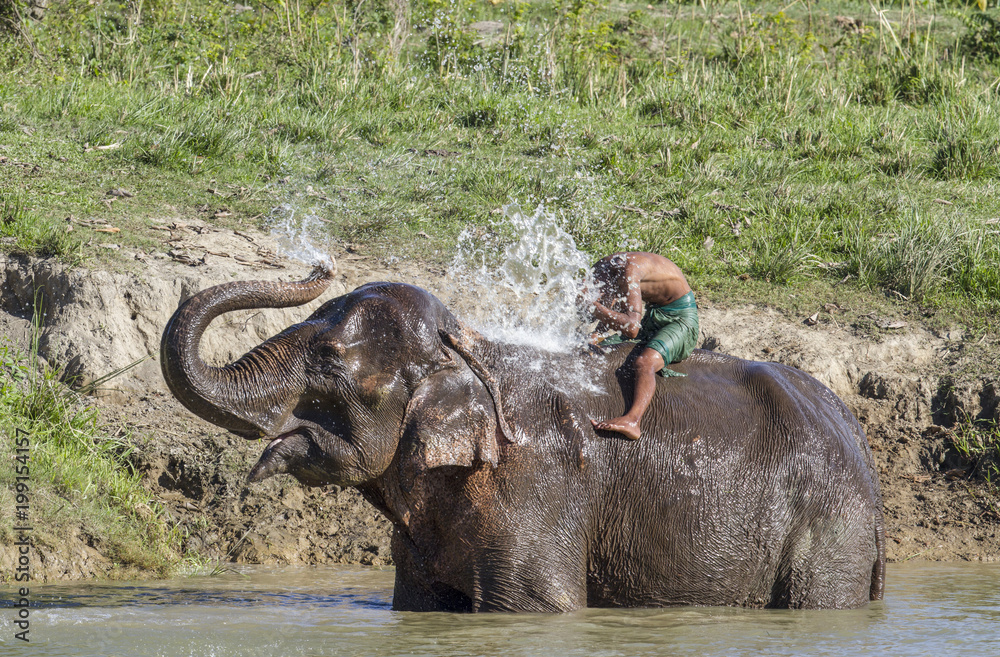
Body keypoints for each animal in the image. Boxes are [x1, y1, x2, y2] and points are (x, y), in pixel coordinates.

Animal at [161, 265, 885, 612]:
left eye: (332, 359)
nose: (320, 261)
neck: (469, 348)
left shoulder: (537, 486)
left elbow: (537, 604)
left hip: (830, 529)